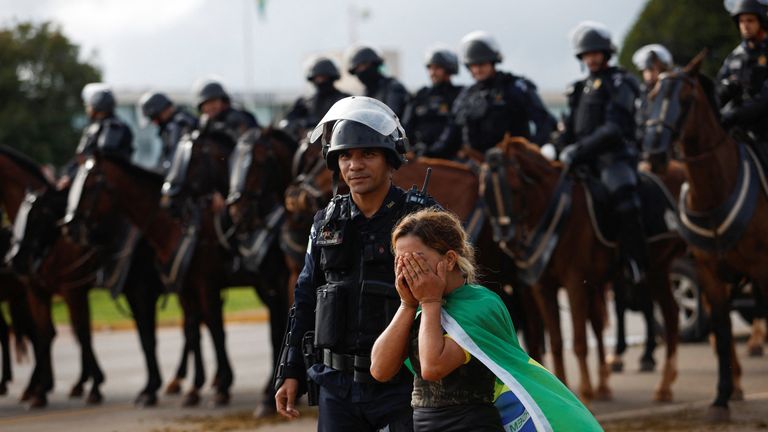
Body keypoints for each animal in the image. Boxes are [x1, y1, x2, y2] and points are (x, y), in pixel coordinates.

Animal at [480, 137, 684, 404]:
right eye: (484, 194)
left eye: (514, 188)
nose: (507, 240)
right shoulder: (542, 287)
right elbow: (557, 341)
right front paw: (563, 387)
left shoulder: (574, 282)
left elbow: (578, 341)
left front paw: (586, 391)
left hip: (656, 270)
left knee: (670, 315)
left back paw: (664, 385)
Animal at [640, 52, 768, 420]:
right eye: (652, 96)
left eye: (685, 99)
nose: (654, 155)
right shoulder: (710, 274)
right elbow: (722, 333)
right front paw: (721, 397)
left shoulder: (762, 270)